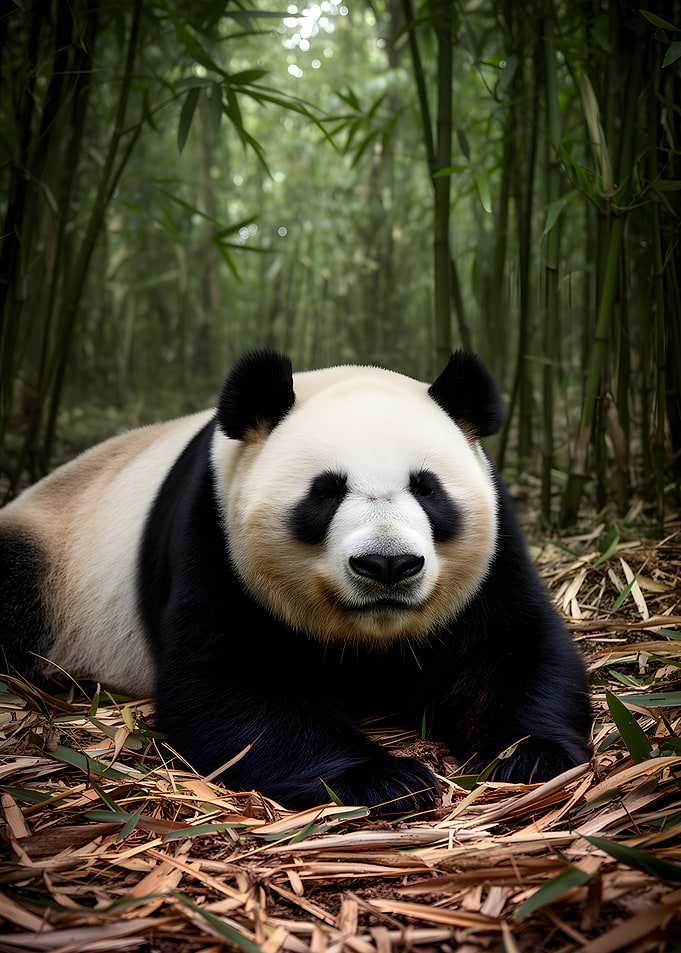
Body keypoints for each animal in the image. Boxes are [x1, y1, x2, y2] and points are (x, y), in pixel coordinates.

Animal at [0, 350, 592, 813]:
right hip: (53, 555)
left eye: (427, 489)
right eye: (325, 492)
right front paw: (384, 779)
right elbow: (232, 687)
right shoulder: (214, 540)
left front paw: (532, 755)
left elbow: (507, 649)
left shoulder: (494, 557)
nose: (387, 565)